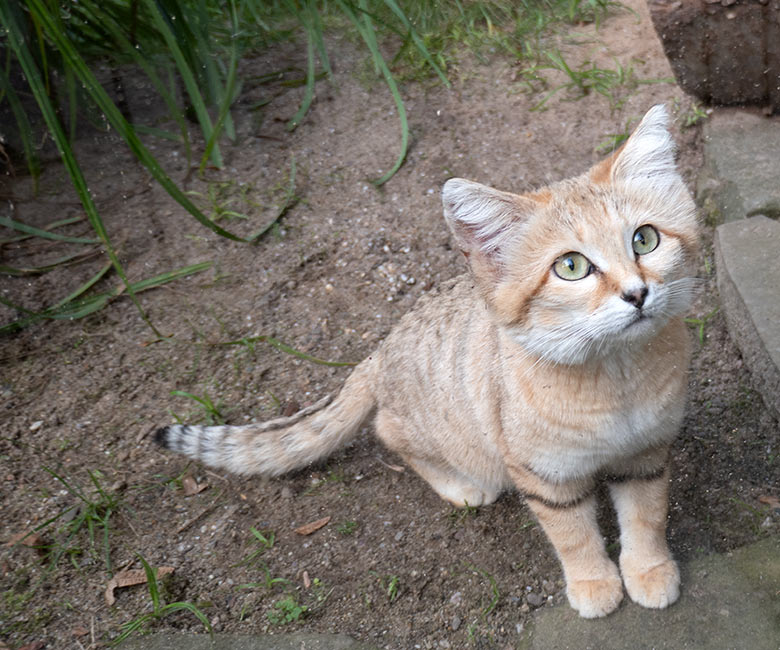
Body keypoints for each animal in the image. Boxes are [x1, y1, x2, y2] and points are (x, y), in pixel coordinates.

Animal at [155, 104, 696, 616]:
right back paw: (460, 485)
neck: (617, 378)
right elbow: (574, 536)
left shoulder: (646, 454)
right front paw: (593, 583)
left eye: (644, 239)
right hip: (450, 437)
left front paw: (649, 570)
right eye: (571, 267)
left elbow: (646, 516)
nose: (637, 293)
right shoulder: (544, 476)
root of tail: (379, 350)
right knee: (389, 432)